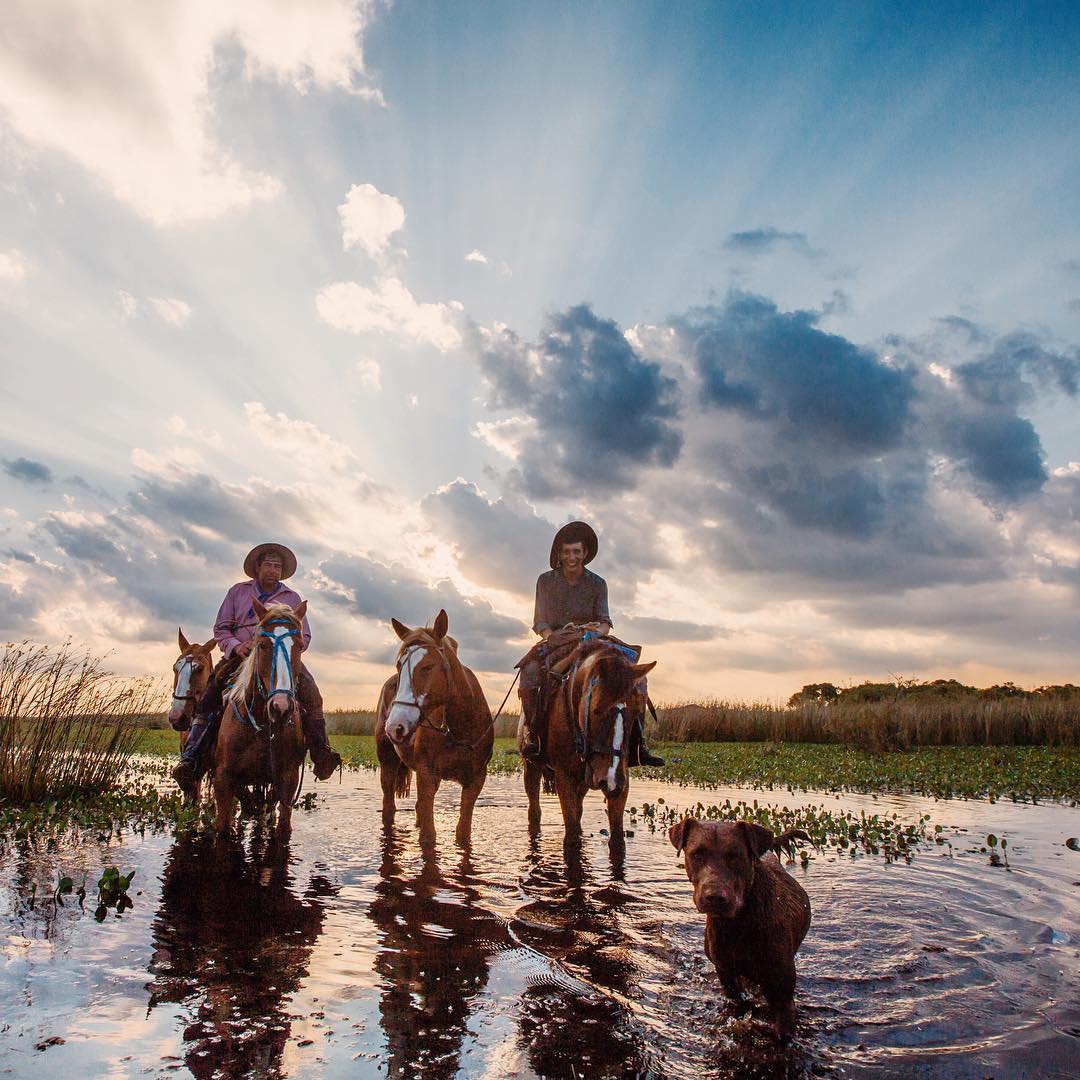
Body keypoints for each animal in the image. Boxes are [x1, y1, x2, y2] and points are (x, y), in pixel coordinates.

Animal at [209, 600, 308, 833]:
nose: (281, 707)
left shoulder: (287, 779)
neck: (261, 726)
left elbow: (283, 827)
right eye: (261, 645)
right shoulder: (223, 780)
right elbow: (223, 828)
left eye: (299, 646)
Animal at [378, 609, 494, 851]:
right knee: (389, 807)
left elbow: (463, 834)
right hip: (387, 762)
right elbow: (428, 839)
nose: (395, 726)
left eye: (428, 666)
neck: (460, 729)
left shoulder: (476, 780)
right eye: (399, 665)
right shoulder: (426, 774)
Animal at [524, 643, 656, 846]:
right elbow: (571, 837)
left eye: (637, 713)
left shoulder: (621, 781)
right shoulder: (564, 776)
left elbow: (617, 839)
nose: (609, 780)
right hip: (531, 766)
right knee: (535, 810)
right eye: (596, 710)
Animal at [665, 816, 812, 1036]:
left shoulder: (782, 996)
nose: (715, 897)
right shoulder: (727, 976)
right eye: (697, 854)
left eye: (735, 856)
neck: (738, 924)